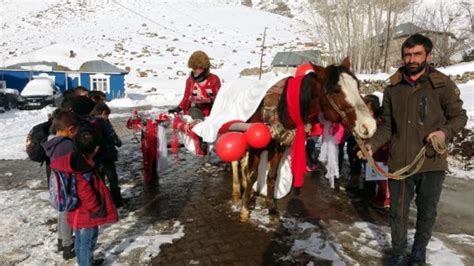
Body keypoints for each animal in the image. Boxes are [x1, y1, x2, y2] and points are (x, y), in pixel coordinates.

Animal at [232, 57, 374, 222]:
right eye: (336, 90)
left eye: (357, 86)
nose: (369, 125)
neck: (283, 108)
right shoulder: (256, 146)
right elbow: (252, 175)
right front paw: (245, 209)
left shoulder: (279, 146)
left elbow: (272, 176)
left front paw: (272, 209)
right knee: (235, 160)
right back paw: (237, 192)